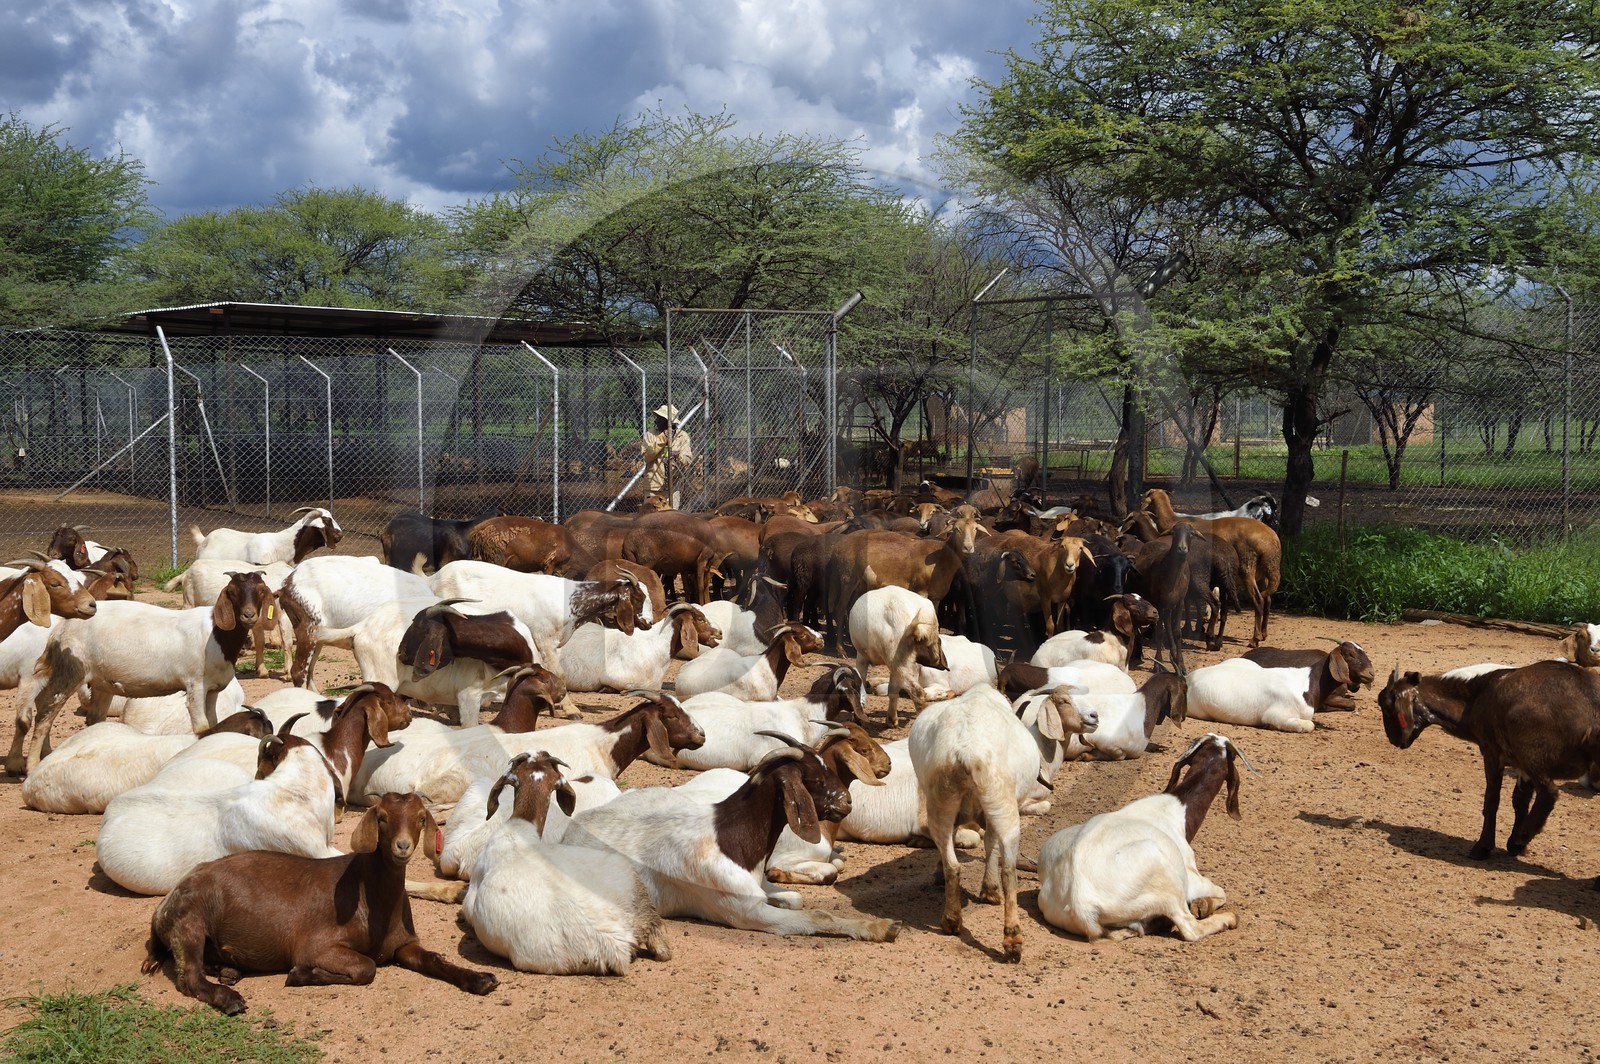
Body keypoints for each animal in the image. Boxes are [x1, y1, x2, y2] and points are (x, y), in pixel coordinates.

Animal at [143, 791, 497, 1014]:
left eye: (421, 818)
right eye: (382, 817)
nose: (403, 846)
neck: (371, 897)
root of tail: (164, 905)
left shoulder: (403, 945)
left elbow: (433, 959)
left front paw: (480, 979)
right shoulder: (318, 945)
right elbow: (366, 967)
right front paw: (301, 974)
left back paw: (229, 971)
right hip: (190, 919)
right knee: (189, 976)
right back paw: (229, 997)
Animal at [910, 684, 1097, 961]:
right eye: (1064, 701)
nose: (1094, 717)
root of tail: (966, 751)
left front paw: (939, 874)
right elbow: (992, 844)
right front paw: (989, 891)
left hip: (941, 796)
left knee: (953, 863)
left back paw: (952, 920)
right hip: (1001, 799)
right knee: (1009, 870)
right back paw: (1012, 939)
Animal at [1037, 733, 1247, 941]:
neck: (1178, 808)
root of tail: (1080, 904)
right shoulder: (1191, 877)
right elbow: (1221, 892)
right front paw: (1205, 905)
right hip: (1161, 870)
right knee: (1190, 928)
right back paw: (1227, 919)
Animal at [1379, 660, 1600, 869]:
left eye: (1388, 706)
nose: (1394, 739)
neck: (1475, 699)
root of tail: (1592, 712)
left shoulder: (1493, 753)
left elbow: (1492, 800)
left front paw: (1484, 847)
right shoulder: (1521, 766)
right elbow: (1519, 800)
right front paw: (1513, 845)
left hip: (1535, 757)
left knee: (1549, 794)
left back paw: (1523, 836)